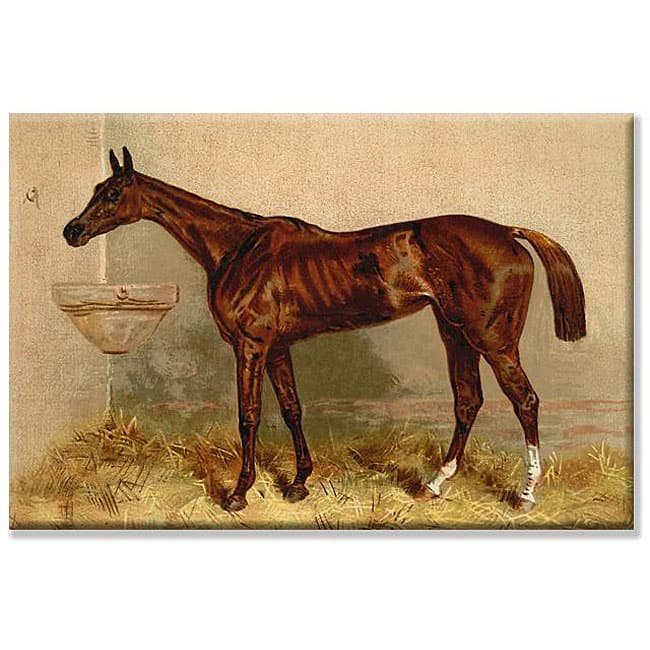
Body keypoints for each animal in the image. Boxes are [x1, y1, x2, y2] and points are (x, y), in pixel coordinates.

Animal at [63, 147, 586, 512]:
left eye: (112, 194)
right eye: (95, 188)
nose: (72, 231)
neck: (238, 248)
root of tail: (509, 232)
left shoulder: (250, 347)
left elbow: (248, 416)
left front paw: (238, 493)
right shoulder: (277, 348)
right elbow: (293, 409)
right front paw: (298, 483)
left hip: (493, 341)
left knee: (525, 401)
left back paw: (525, 495)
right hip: (455, 333)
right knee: (468, 401)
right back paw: (434, 485)